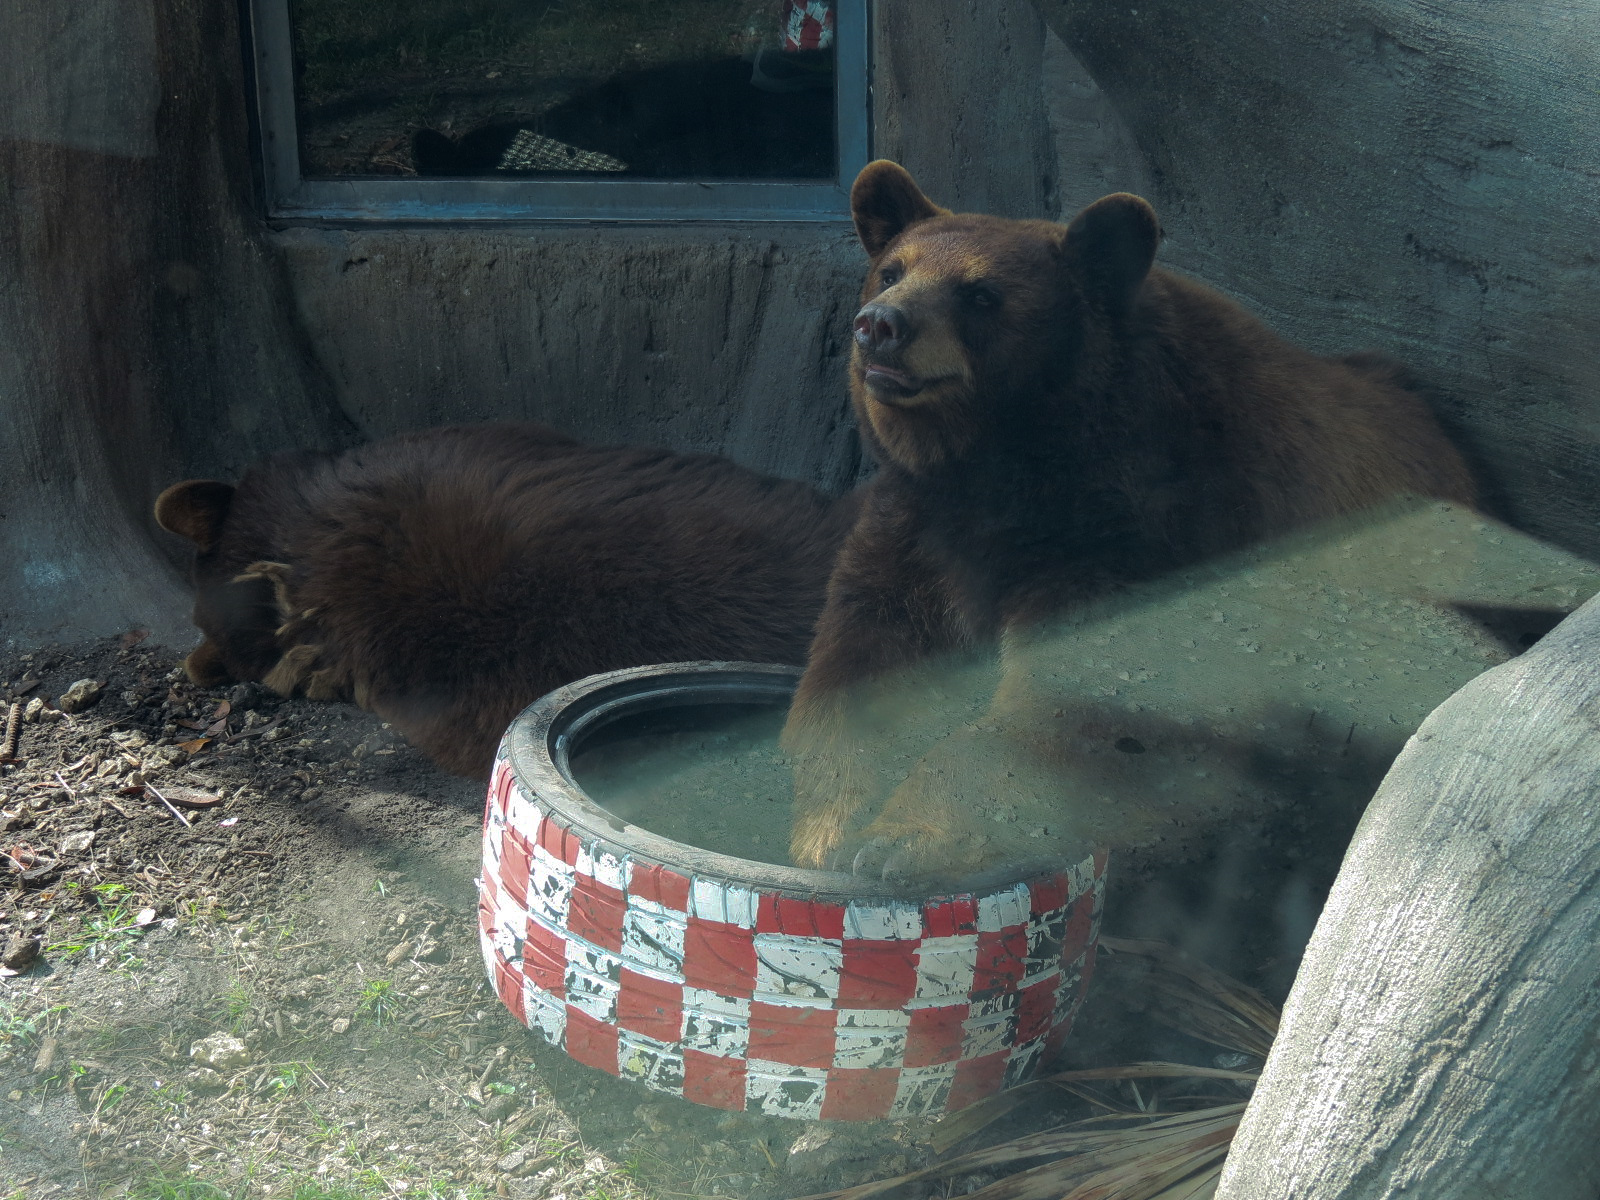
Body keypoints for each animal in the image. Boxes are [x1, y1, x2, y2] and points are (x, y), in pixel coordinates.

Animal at [781, 160, 1486, 881]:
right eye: (892, 269)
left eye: (980, 293)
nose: (880, 325)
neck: (1007, 458)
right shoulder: (919, 527)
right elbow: (861, 658)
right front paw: (830, 828)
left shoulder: (1140, 535)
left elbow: (1073, 702)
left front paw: (904, 839)